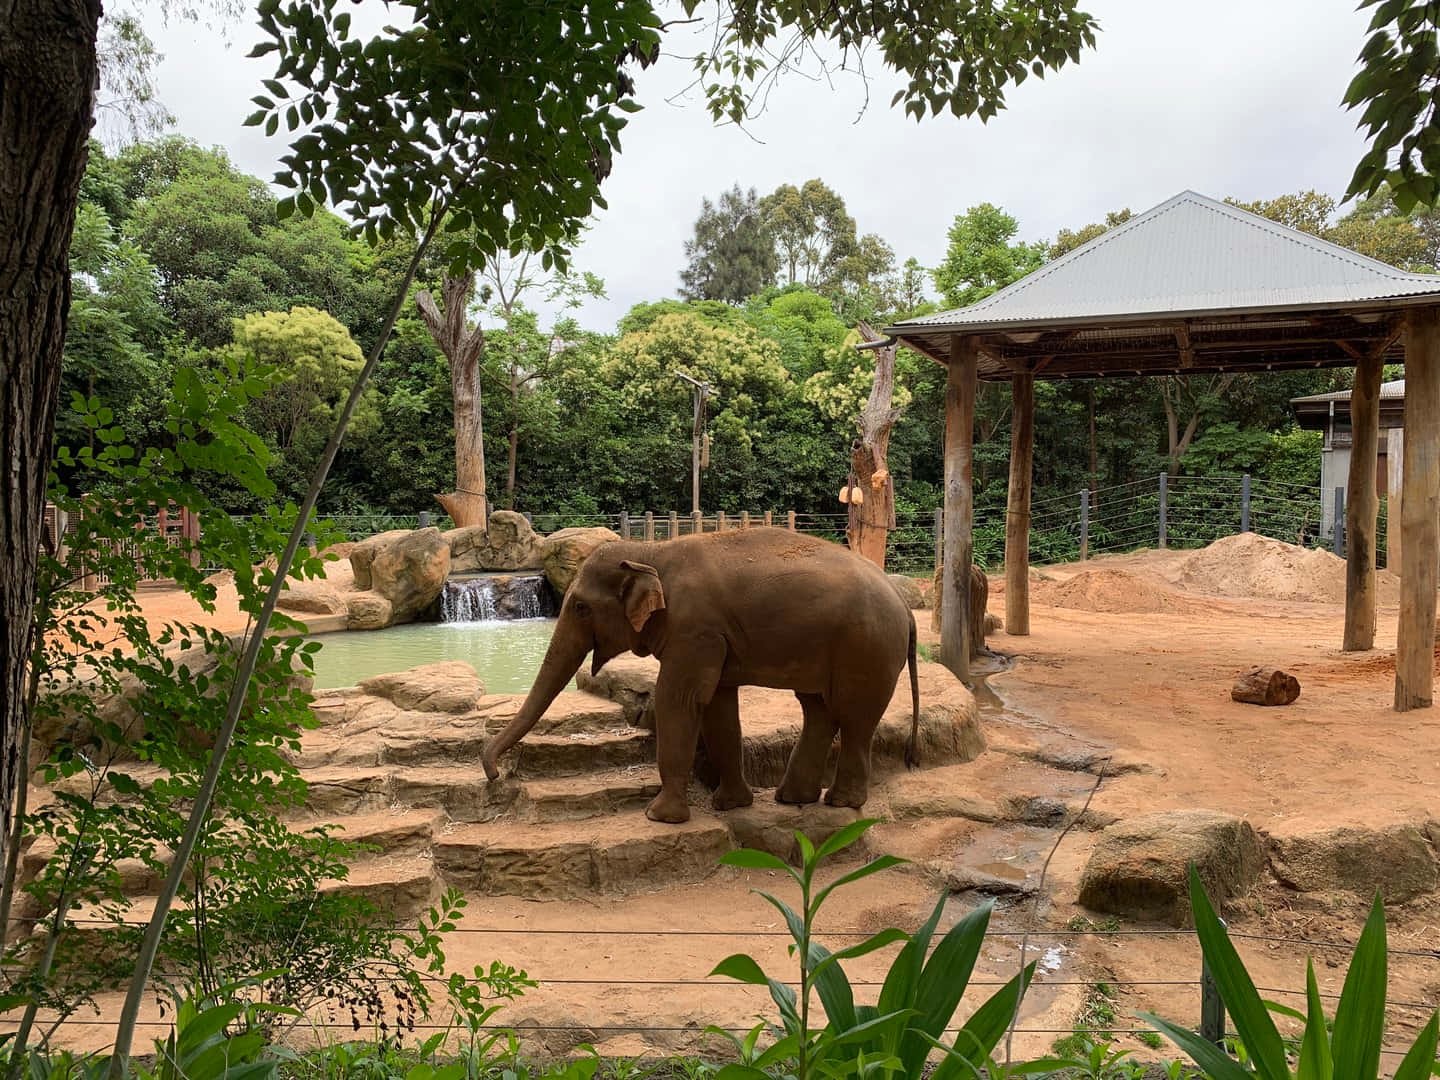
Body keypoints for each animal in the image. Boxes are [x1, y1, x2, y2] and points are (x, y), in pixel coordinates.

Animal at [478, 529, 915, 823]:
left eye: (581, 608)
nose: (494, 776)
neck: (650, 552)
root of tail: (905, 605)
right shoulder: (712, 637)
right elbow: (718, 706)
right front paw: (730, 805)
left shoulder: (695, 629)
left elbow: (679, 699)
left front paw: (660, 817)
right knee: (818, 709)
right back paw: (793, 798)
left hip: (867, 648)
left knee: (854, 716)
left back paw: (841, 803)